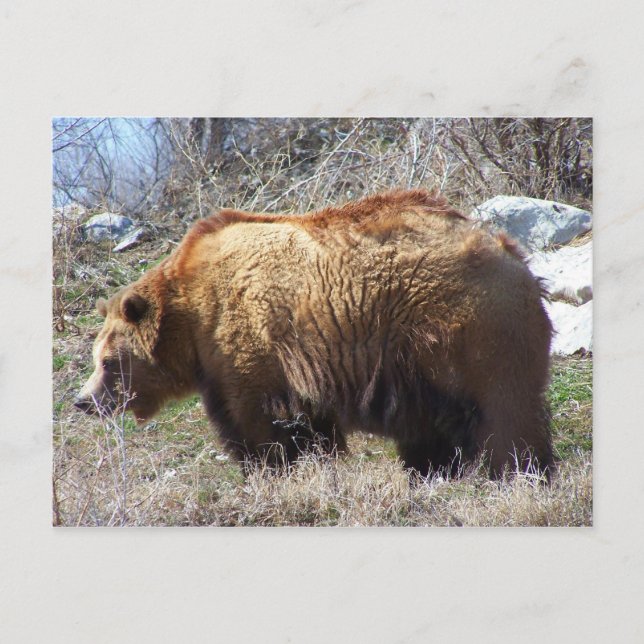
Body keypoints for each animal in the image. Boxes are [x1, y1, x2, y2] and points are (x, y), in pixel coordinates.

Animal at [75, 189, 553, 478]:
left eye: (107, 362)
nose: (83, 400)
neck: (191, 313)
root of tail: (516, 256)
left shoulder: (249, 343)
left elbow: (261, 421)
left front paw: (272, 469)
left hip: (472, 331)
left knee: (505, 413)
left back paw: (517, 472)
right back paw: (432, 471)